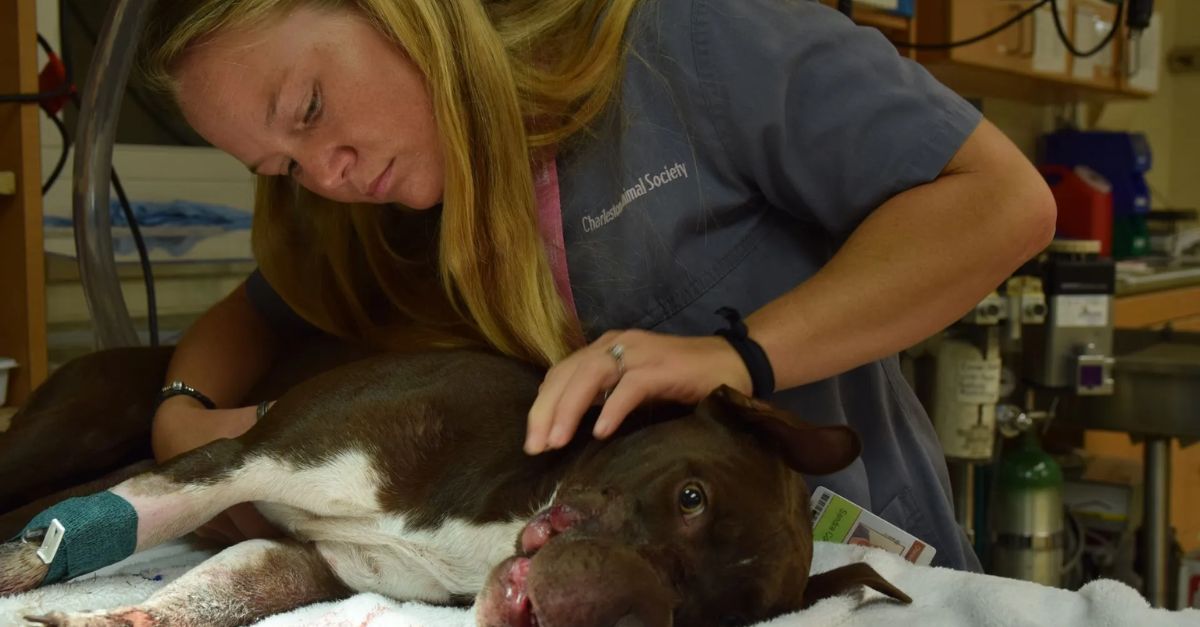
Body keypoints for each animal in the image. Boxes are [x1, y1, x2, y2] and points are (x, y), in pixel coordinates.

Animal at [0, 343, 902, 619]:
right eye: (691, 498)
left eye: (716, 619)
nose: (615, 613)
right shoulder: (242, 457)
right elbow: (67, 542)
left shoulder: (311, 564)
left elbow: (223, 590)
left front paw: (119, 618)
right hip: (67, 437)